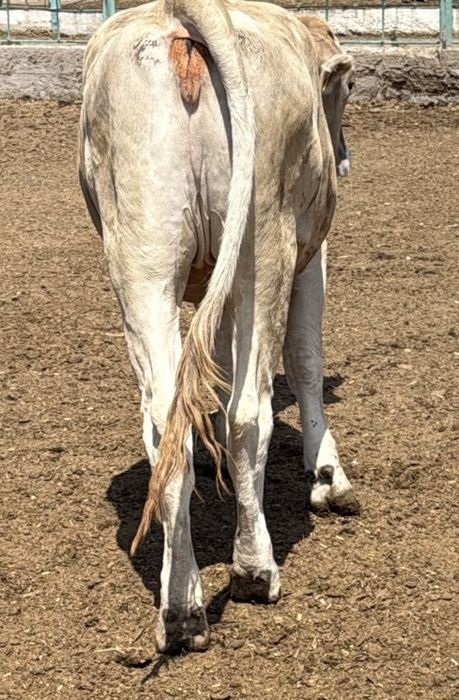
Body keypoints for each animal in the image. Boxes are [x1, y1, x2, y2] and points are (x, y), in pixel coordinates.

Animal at [79, 0, 358, 654]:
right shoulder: (312, 256)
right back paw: (255, 569)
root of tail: (183, 18)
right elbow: (305, 358)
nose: (344, 155)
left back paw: (182, 610)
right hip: (266, 243)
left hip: (142, 257)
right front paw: (328, 474)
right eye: (349, 89)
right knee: (250, 411)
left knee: (166, 428)